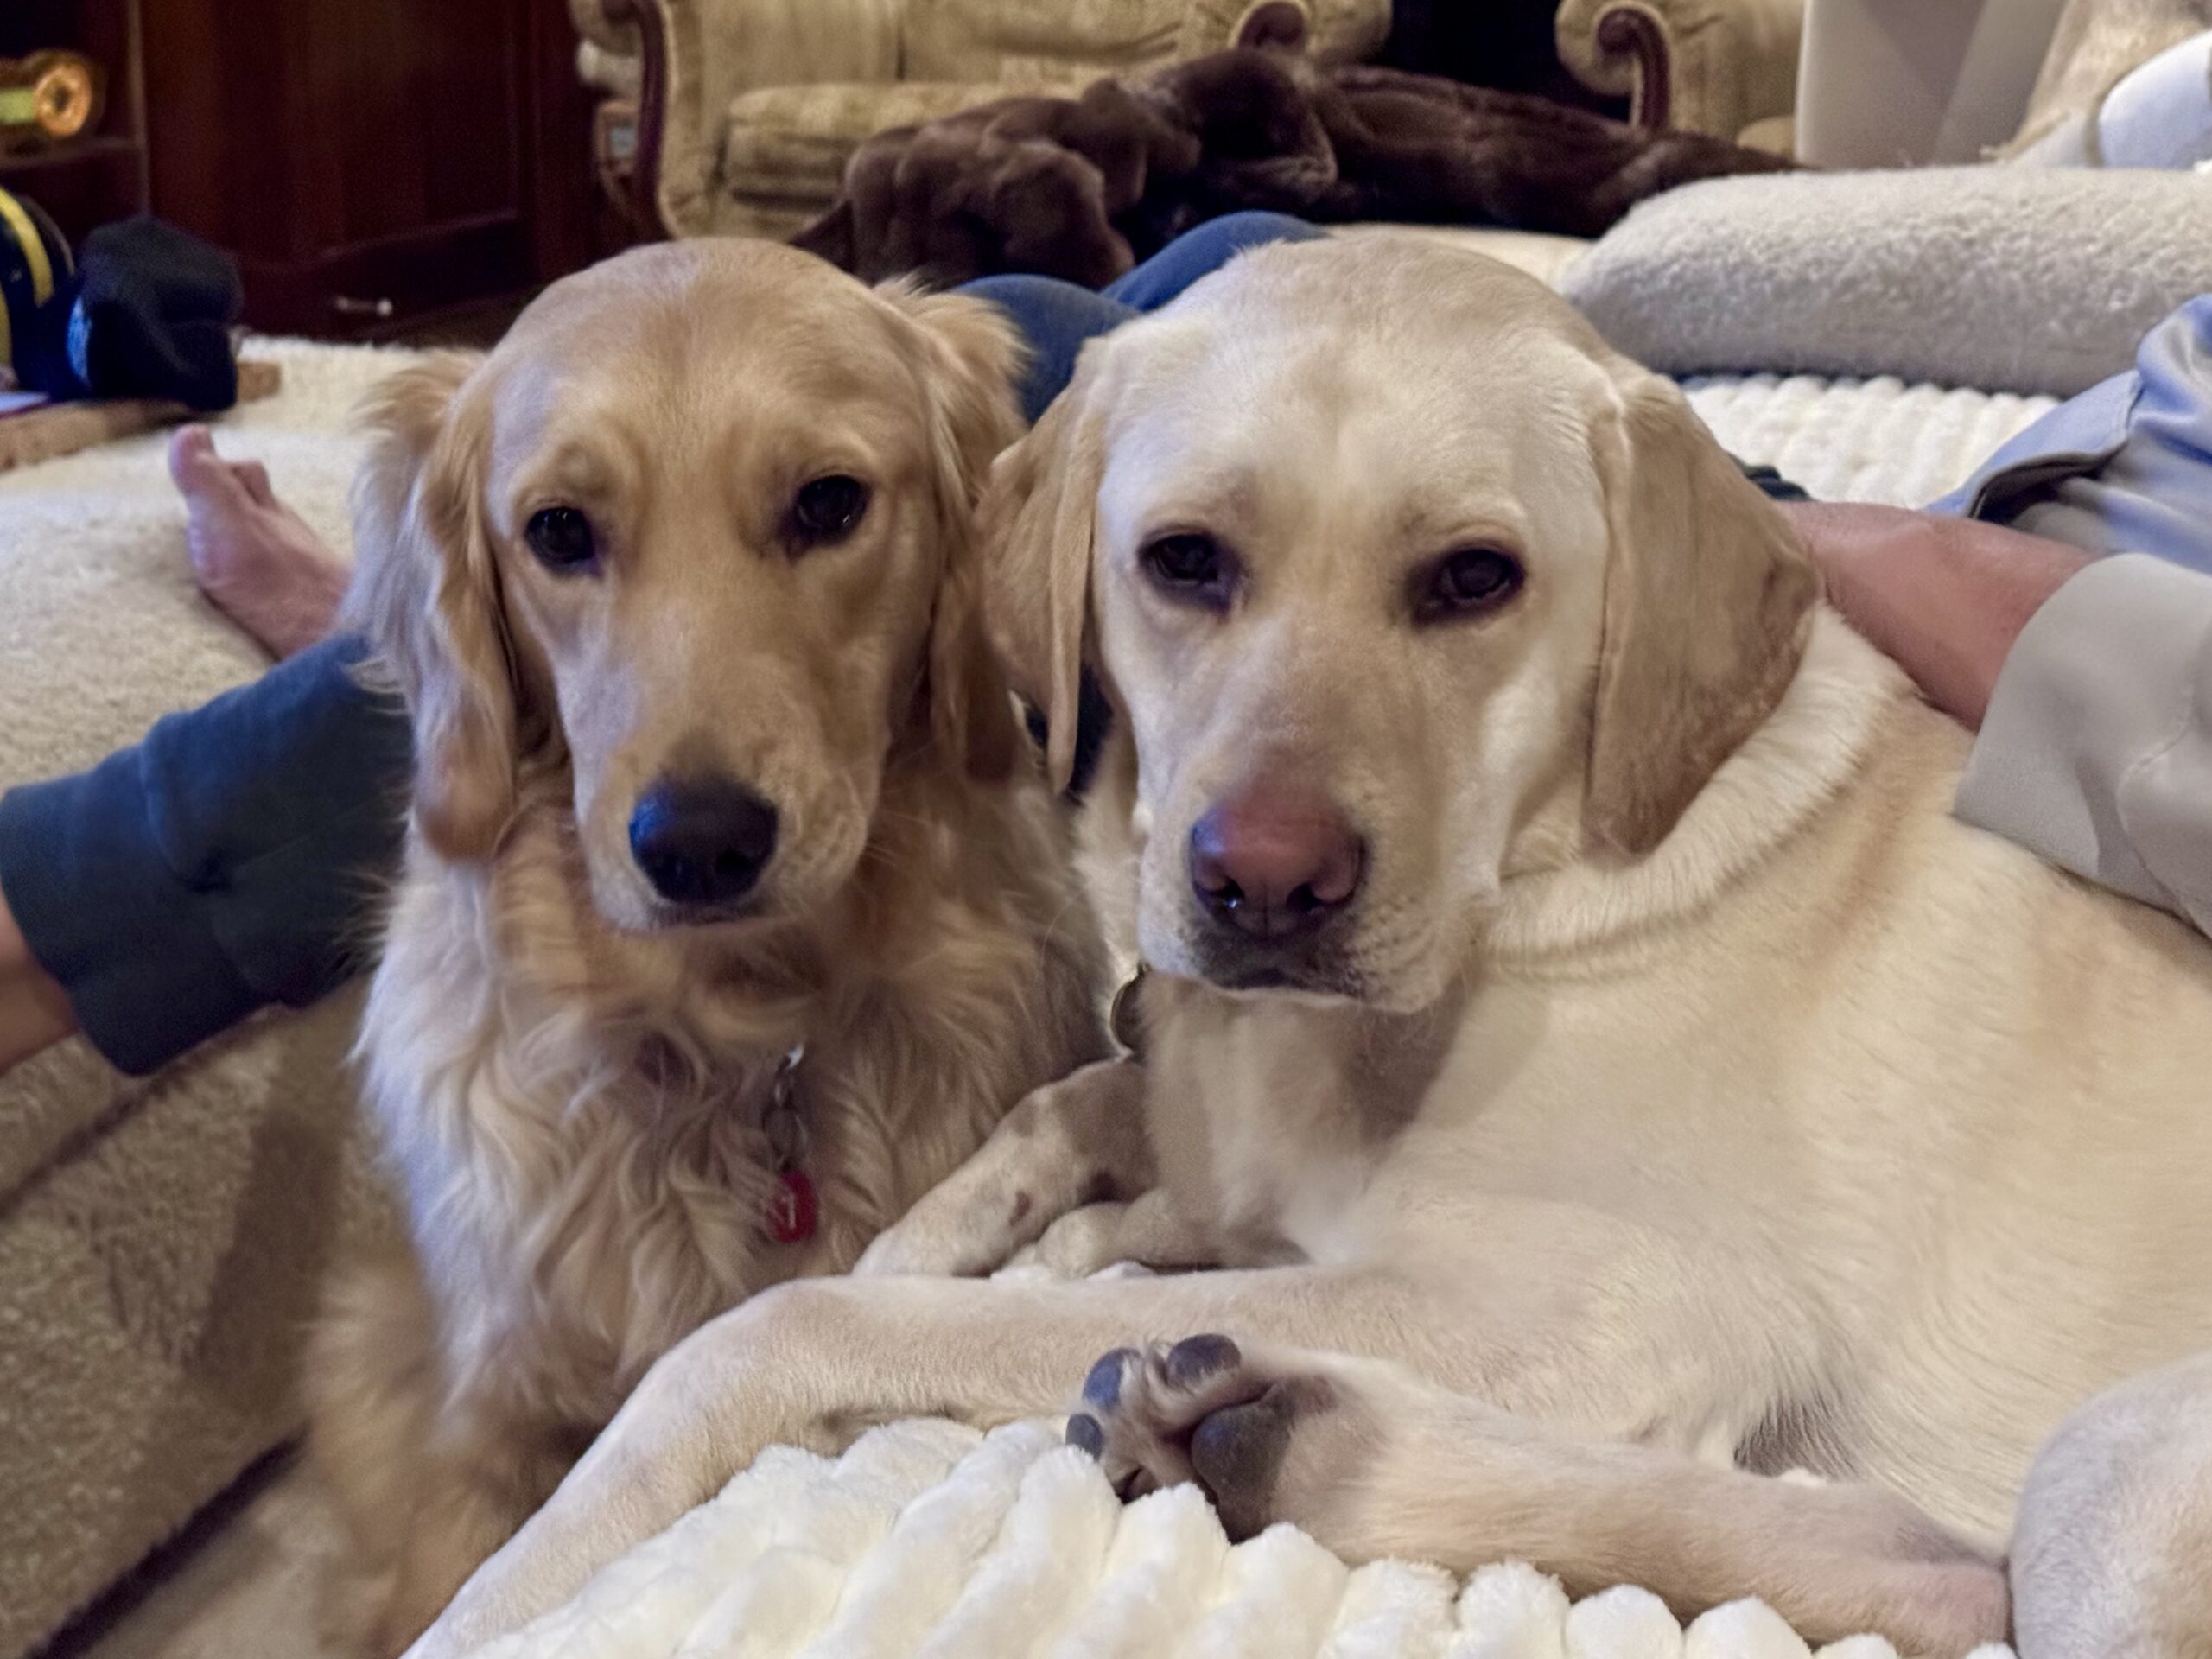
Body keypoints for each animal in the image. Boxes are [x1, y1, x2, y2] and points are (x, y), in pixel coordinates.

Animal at [405, 236, 2212, 1659]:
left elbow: (795, 1327)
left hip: (2117, 1462)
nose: (1263, 887)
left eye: (1476, 579)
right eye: (1185, 561)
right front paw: (987, 1220)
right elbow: (1057, 1128)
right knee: (1926, 1562)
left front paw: (520, 1571)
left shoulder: (1592, 1311)